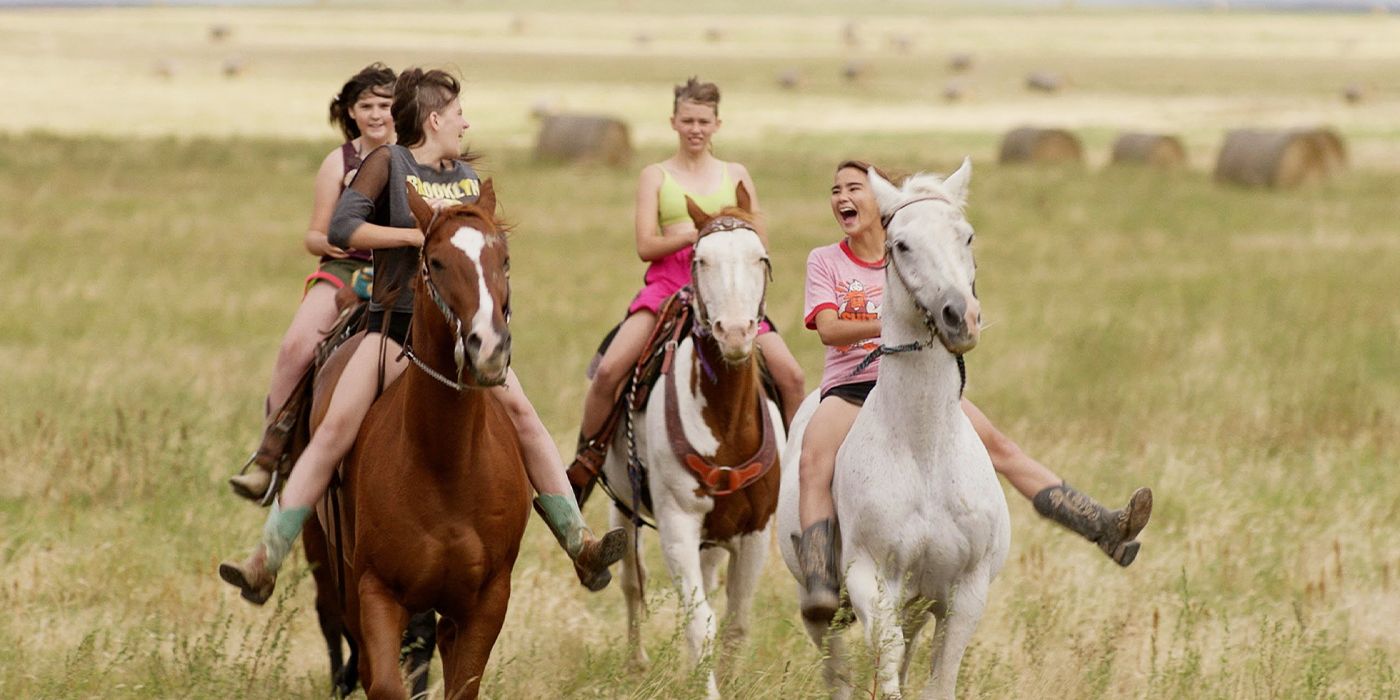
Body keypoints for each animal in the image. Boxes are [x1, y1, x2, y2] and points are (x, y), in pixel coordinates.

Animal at [312, 182, 529, 700]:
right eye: (436, 262)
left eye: (504, 259)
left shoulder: (487, 600)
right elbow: (387, 683)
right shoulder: (376, 590)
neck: (446, 464)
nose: (490, 348)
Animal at [596, 186, 784, 700]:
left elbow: (735, 622)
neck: (726, 425)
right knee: (632, 581)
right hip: (623, 508)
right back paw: (637, 662)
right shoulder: (678, 525)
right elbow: (703, 622)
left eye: (761, 258)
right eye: (700, 259)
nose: (735, 333)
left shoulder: (755, 532)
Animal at [778, 160, 1008, 700]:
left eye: (967, 236)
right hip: (823, 606)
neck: (924, 451)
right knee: (836, 667)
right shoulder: (871, 578)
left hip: (918, 605)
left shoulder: (965, 593)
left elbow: (938, 680)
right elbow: (886, 665)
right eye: (901, 244)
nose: (960, 317)